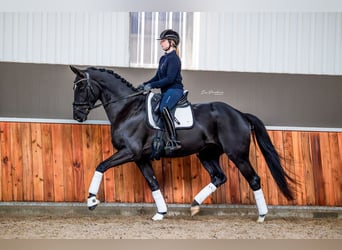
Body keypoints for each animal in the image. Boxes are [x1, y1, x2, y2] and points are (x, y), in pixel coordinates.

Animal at [70, 65, 294, 222]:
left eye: (81, 87)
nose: (78, 115)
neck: (128, 108)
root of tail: (239, 114)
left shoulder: (129, 152)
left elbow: (101, 165)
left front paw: (91, 200)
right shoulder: (140, 157)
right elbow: (153, 182)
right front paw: (160, 213)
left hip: (237, 155)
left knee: (254, 179)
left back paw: (262, 216)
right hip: (207, 154)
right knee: (219, 177)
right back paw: (194, 204)